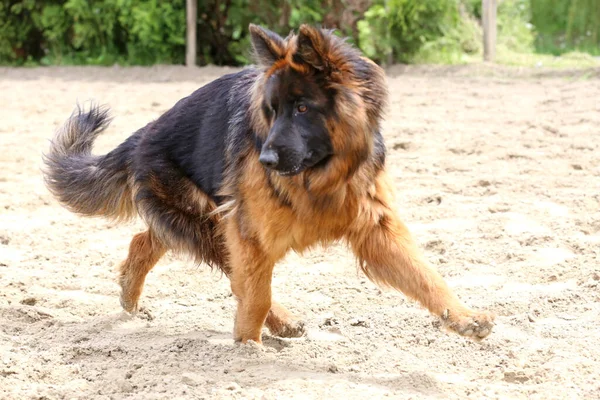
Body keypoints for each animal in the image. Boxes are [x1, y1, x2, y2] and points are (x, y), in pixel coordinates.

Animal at [41, 24, 492, 344]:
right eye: (271, 112)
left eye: (303, 108)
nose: (266, 161)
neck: (321, 177)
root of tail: (146, 132)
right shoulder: (249, 233)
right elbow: (255, 293)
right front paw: (248, 347)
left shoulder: (377, 230)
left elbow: (425, 276)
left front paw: (463, 317)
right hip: (209, 223)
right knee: (223, 272)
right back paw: (277, 321)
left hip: (198, 220)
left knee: (145, 240)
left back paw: (129, 297)